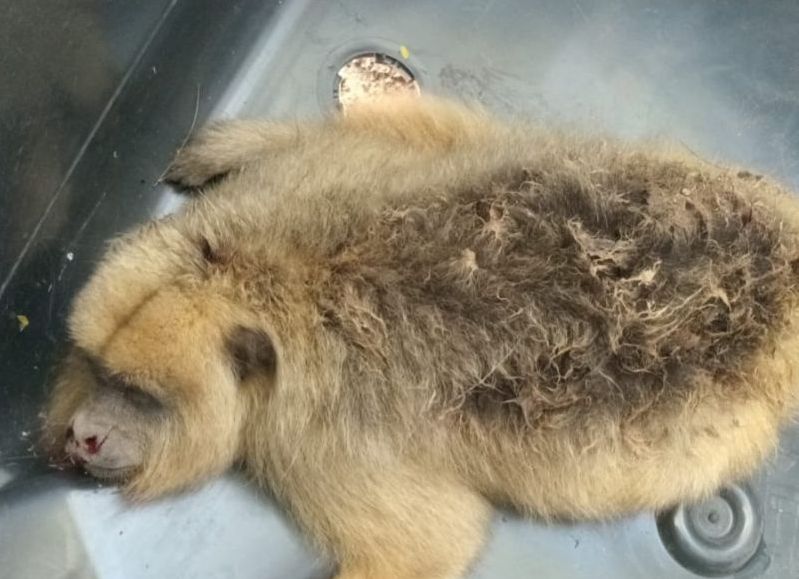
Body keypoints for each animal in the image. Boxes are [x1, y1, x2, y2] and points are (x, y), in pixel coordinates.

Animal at [41, 96, 799, 579]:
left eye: (143, 396)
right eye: (96, 369)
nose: (84, 434)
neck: (259, 282)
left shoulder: (313, 444)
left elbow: (426, 546)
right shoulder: (303, 183)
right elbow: (395, 133)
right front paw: (224, 146)